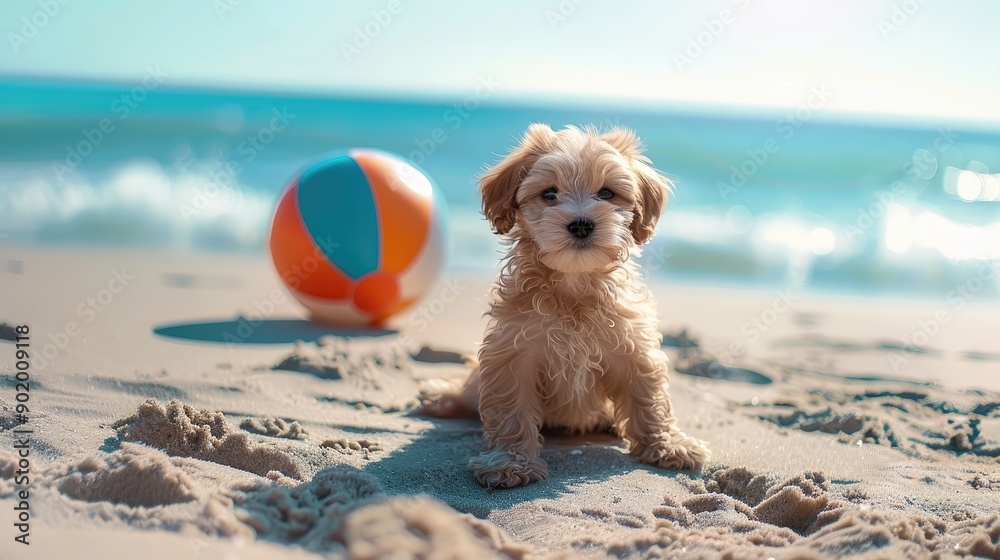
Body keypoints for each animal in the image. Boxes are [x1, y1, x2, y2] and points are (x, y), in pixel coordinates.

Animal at [422, 124, 712, 488]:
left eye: (606, 193)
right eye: (549, 194)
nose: (581, 224)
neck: (572, 285)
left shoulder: (632, 344)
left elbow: (648, 398)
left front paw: (667, 444)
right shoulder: (512, 350)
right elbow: (510, 408)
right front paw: (511, 462)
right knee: (470, 390)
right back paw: (442, 396)